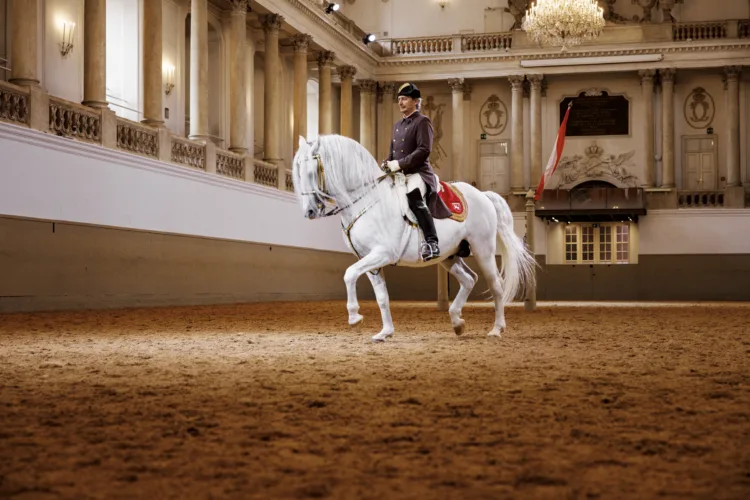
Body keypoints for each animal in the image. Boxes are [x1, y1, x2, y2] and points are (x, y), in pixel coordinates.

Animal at [292, 135, 536, 342]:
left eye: (312, 172)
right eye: (298, 172)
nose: (309, 211)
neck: (367, 200)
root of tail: (483, 195)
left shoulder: (382, 253)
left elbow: (349, 274)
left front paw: (354, 317)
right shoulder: (369, 260)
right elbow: (381, 296)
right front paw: (385, 332)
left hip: (483, 249)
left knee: (496, 286)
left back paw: (496, 329)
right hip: (449, 256)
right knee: (469, 279)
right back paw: (457, 322)